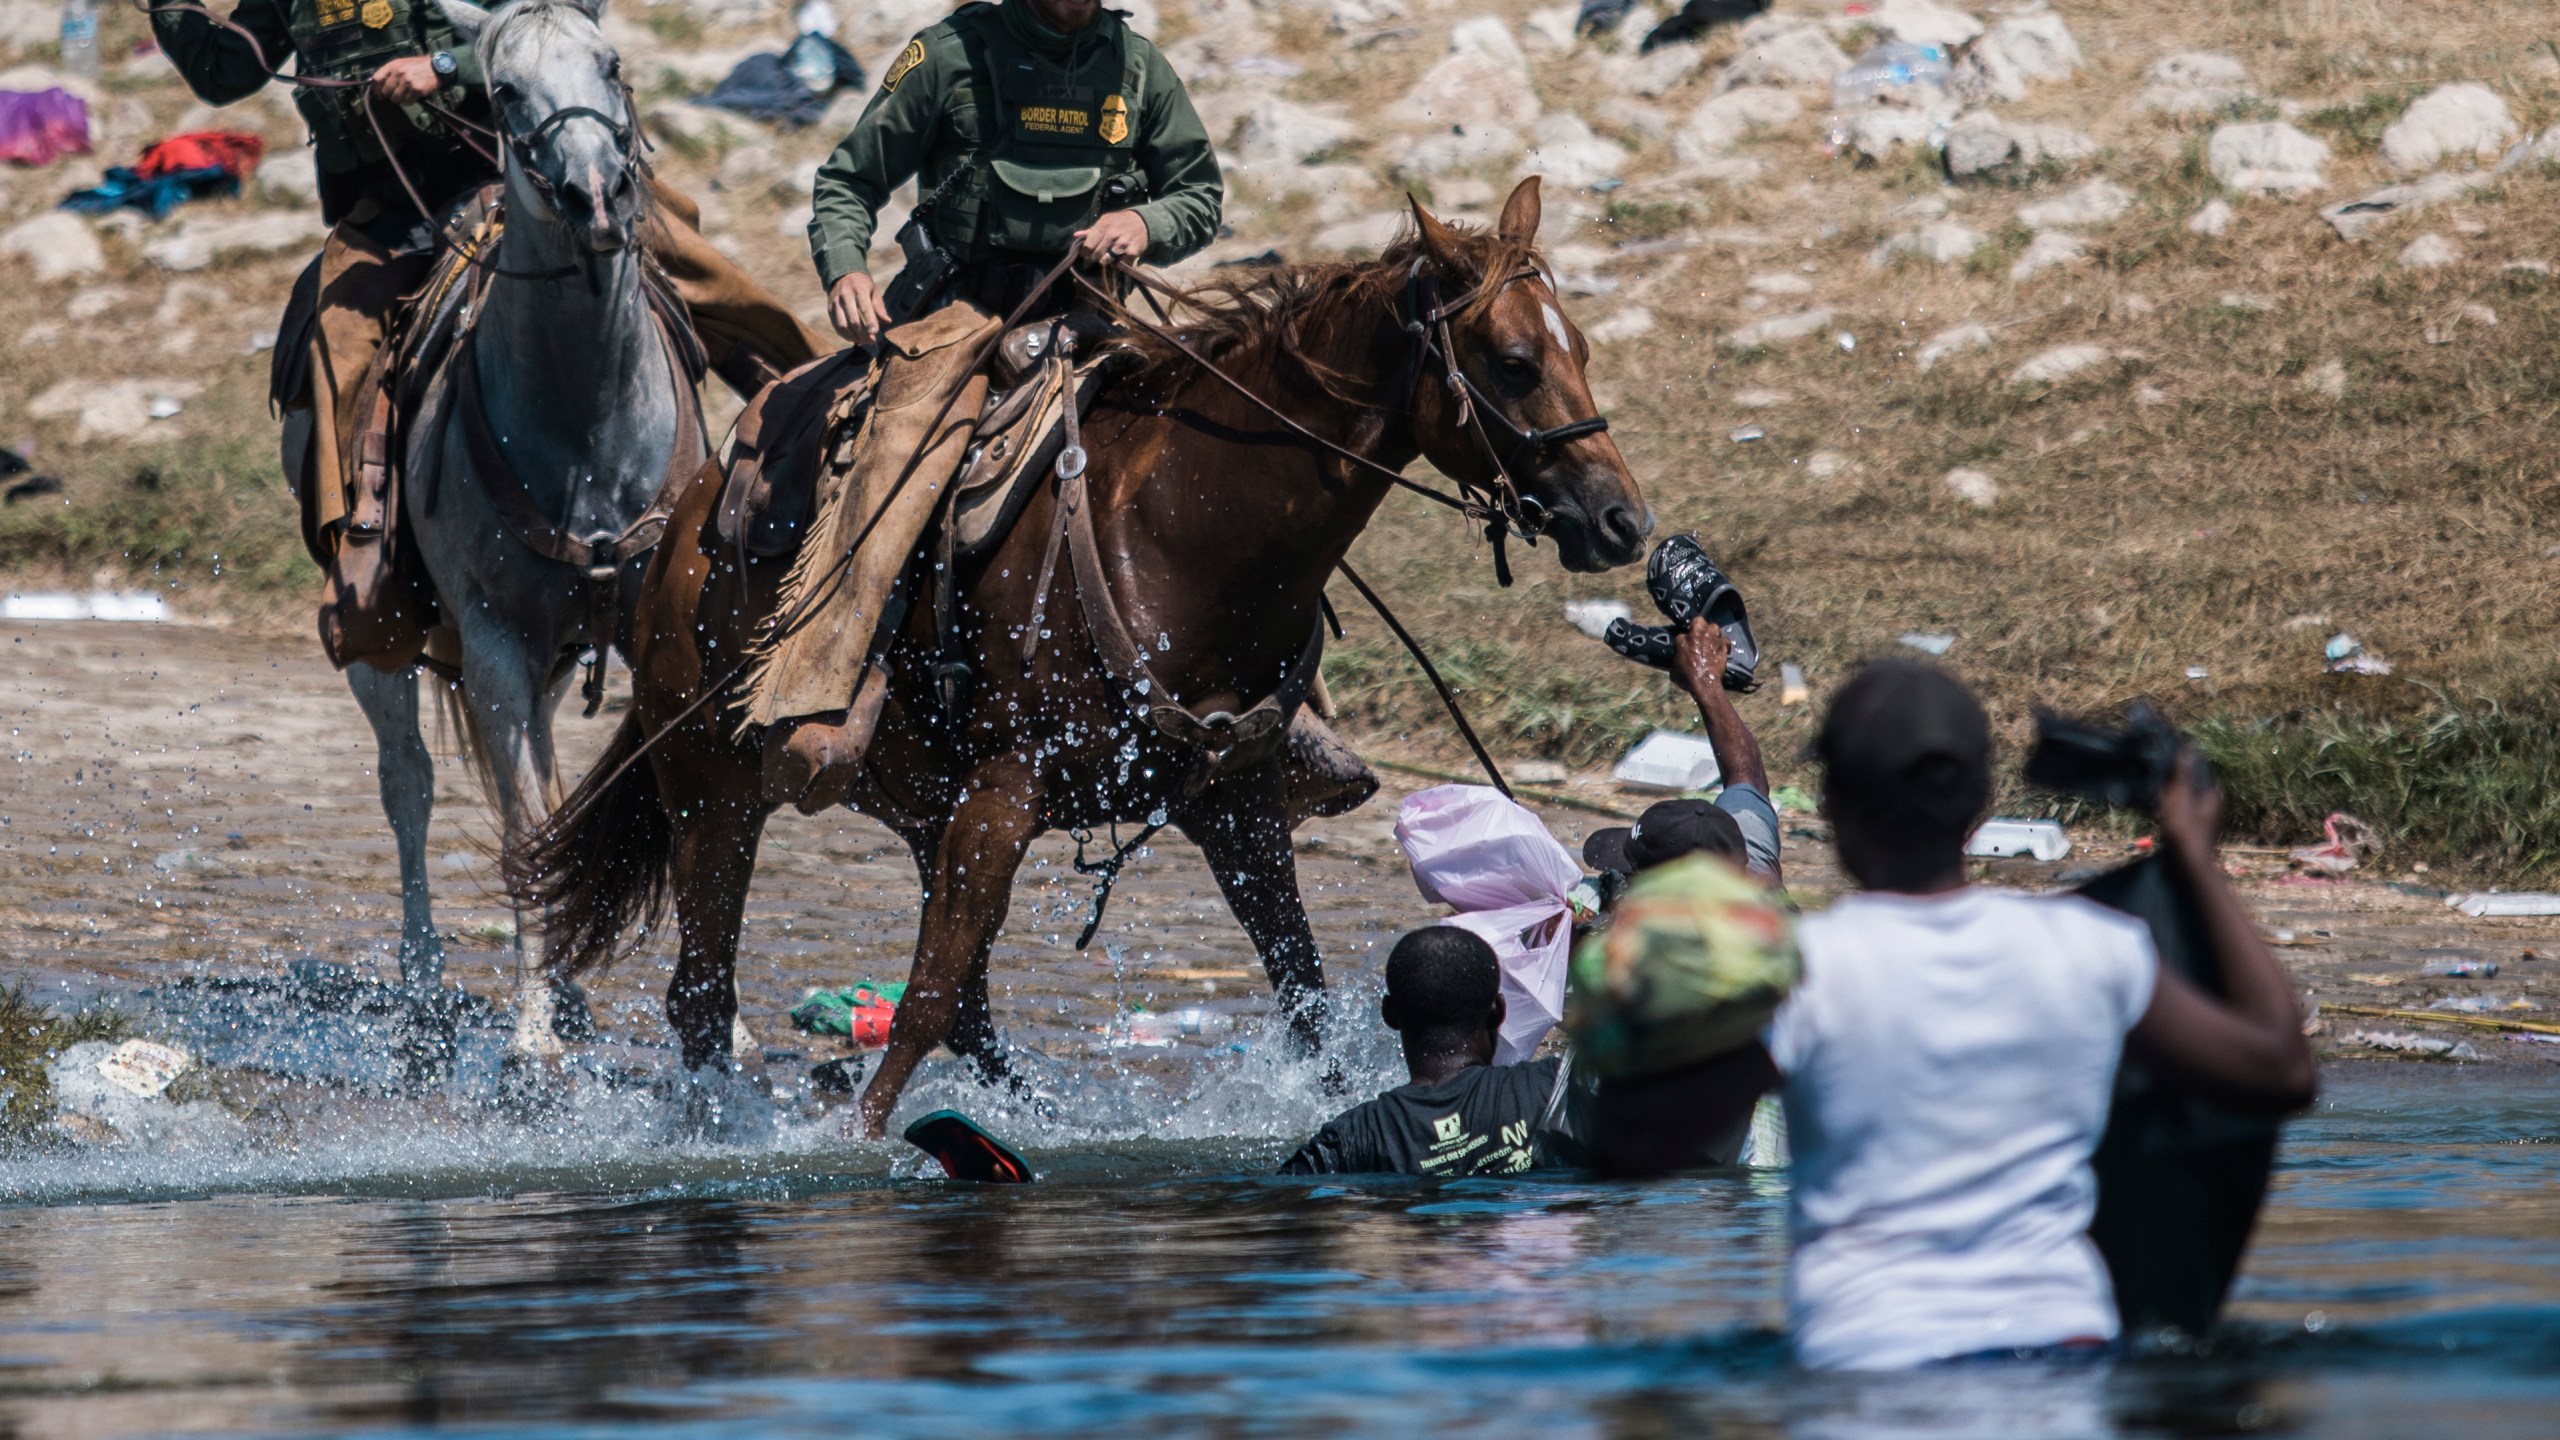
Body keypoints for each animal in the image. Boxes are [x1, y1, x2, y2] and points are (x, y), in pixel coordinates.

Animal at [325, 0, 696, 1065]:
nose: (596, 196)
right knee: (407, 784)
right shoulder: (493, 645)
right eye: (503, 91)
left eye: (611, 63)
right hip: (387, 639)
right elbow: (524, 826)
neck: (587, 427)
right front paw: (532, 1036)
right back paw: (426, 985)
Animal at [509, 179, 1648, 1137]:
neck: (1182, 536)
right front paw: (857, 1144)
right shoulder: (1004, 795)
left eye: (1585, 351)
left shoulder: (1231, 804)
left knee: (958, 1007)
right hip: (712, 786)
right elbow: (923, 1001)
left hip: (916, 806)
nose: (1621, 520)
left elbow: (1303, 991)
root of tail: (686, 523)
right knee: (705, 994)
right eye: (1513, 363)